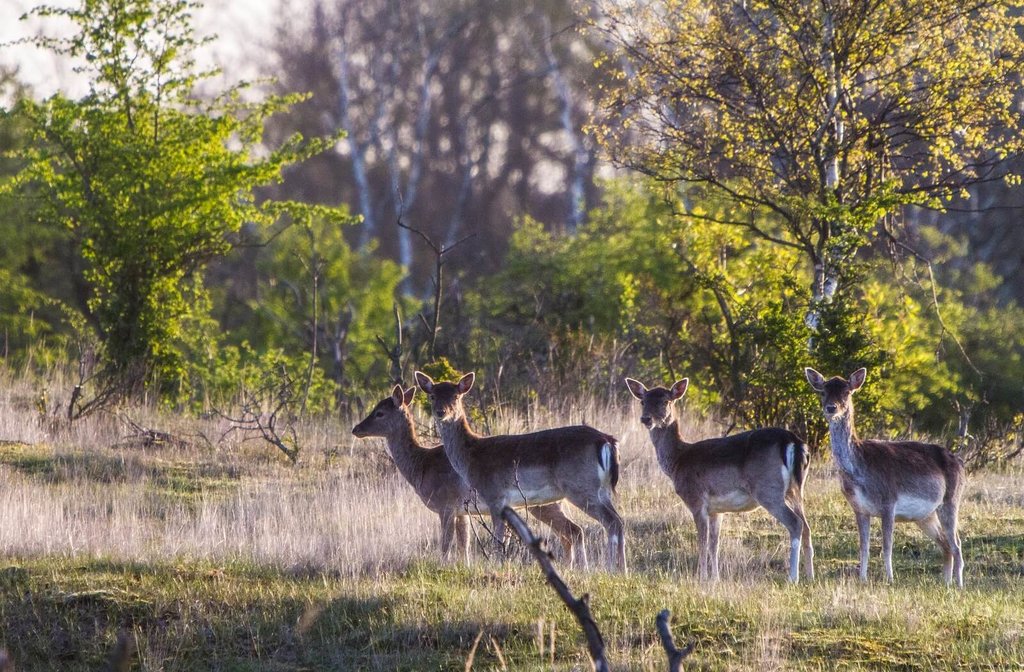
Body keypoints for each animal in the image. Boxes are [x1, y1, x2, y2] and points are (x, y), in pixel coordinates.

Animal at [352, 385, 585, 565]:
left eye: (379, 412)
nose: (356, 429)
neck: (421, 466)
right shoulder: (461, 511)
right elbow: (464, 545)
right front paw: (464, 567)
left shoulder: (445, 504)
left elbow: (446, 544)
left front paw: (443, 568)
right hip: (551, 503)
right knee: (570, 532)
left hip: (543, 504)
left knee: (571, 531)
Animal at [411, 372, 626, 573]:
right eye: (432, 395)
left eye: (456, 396)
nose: (441, 412)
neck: (471, 459)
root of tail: (607, 441)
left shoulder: (495, 496)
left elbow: (498, 539)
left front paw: (496, 565)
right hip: (602, 491)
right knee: (618, 520)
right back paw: (621, 569)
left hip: (581, 488)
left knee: (611, 522)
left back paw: (611, 568)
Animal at [618, 376, 811, 581]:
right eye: (643, 401)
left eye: (665, 401)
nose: (646, 418)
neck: (678, 461)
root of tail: (793, 441)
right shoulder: (716, 510)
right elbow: (714, 544)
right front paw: (715, 578)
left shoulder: (696, 500)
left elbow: (702, 542)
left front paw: (701, 577)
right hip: (796, 489)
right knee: (806, 526)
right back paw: (810, 576)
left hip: (768, 490)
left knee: (795, 523)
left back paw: (793, 578)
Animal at [802, 366, 962, 590]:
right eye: (823, 391)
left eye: (847, 392)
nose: (831, 408)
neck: (859, 474)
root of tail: (960, 463)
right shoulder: (859, 508)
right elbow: (864, 546)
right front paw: (862, 579)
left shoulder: (889, 502)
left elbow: (887, 545)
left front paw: (890, 579)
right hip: (925, 515)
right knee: (946, 544)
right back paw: (946, 583)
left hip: (951, 500)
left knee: (957, 544)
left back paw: (959, 585)